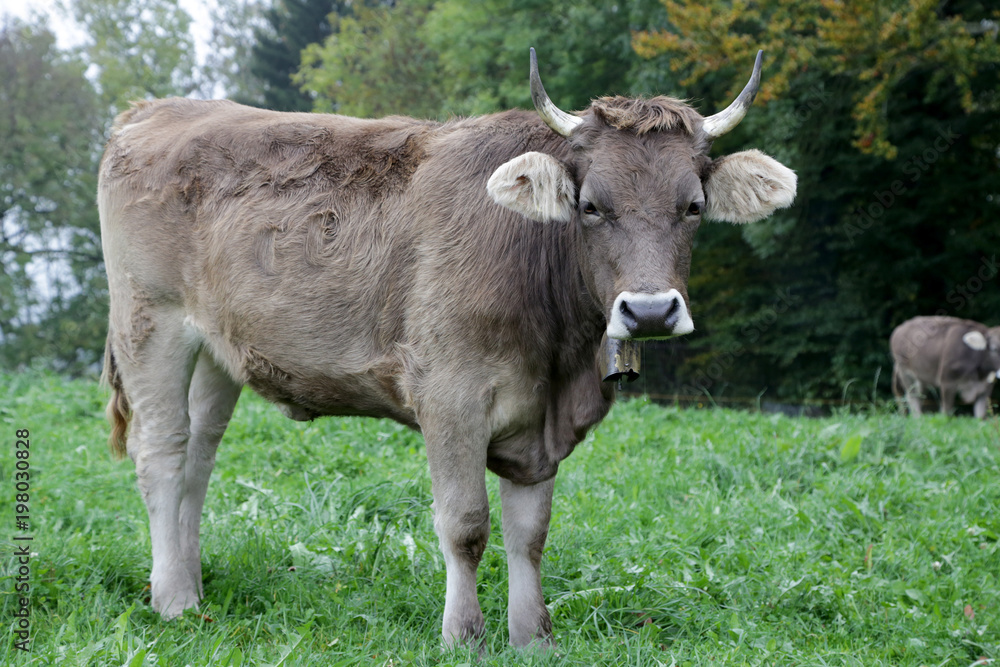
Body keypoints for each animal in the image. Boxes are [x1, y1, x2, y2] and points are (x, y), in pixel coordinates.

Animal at [97, 51, 792, 648]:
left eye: (693, 207)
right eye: (591, 206)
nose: (649, 311)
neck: (560, 361)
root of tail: (154, 109)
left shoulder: (538, 424)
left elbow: (529, 534)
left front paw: (531, 637)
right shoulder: (449, 396)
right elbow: (466, 524)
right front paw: (463, 633)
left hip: (218, 348)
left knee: (200, 456)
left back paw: (192, 585)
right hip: (150, 319)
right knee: (163, 453)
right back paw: (173, 601)